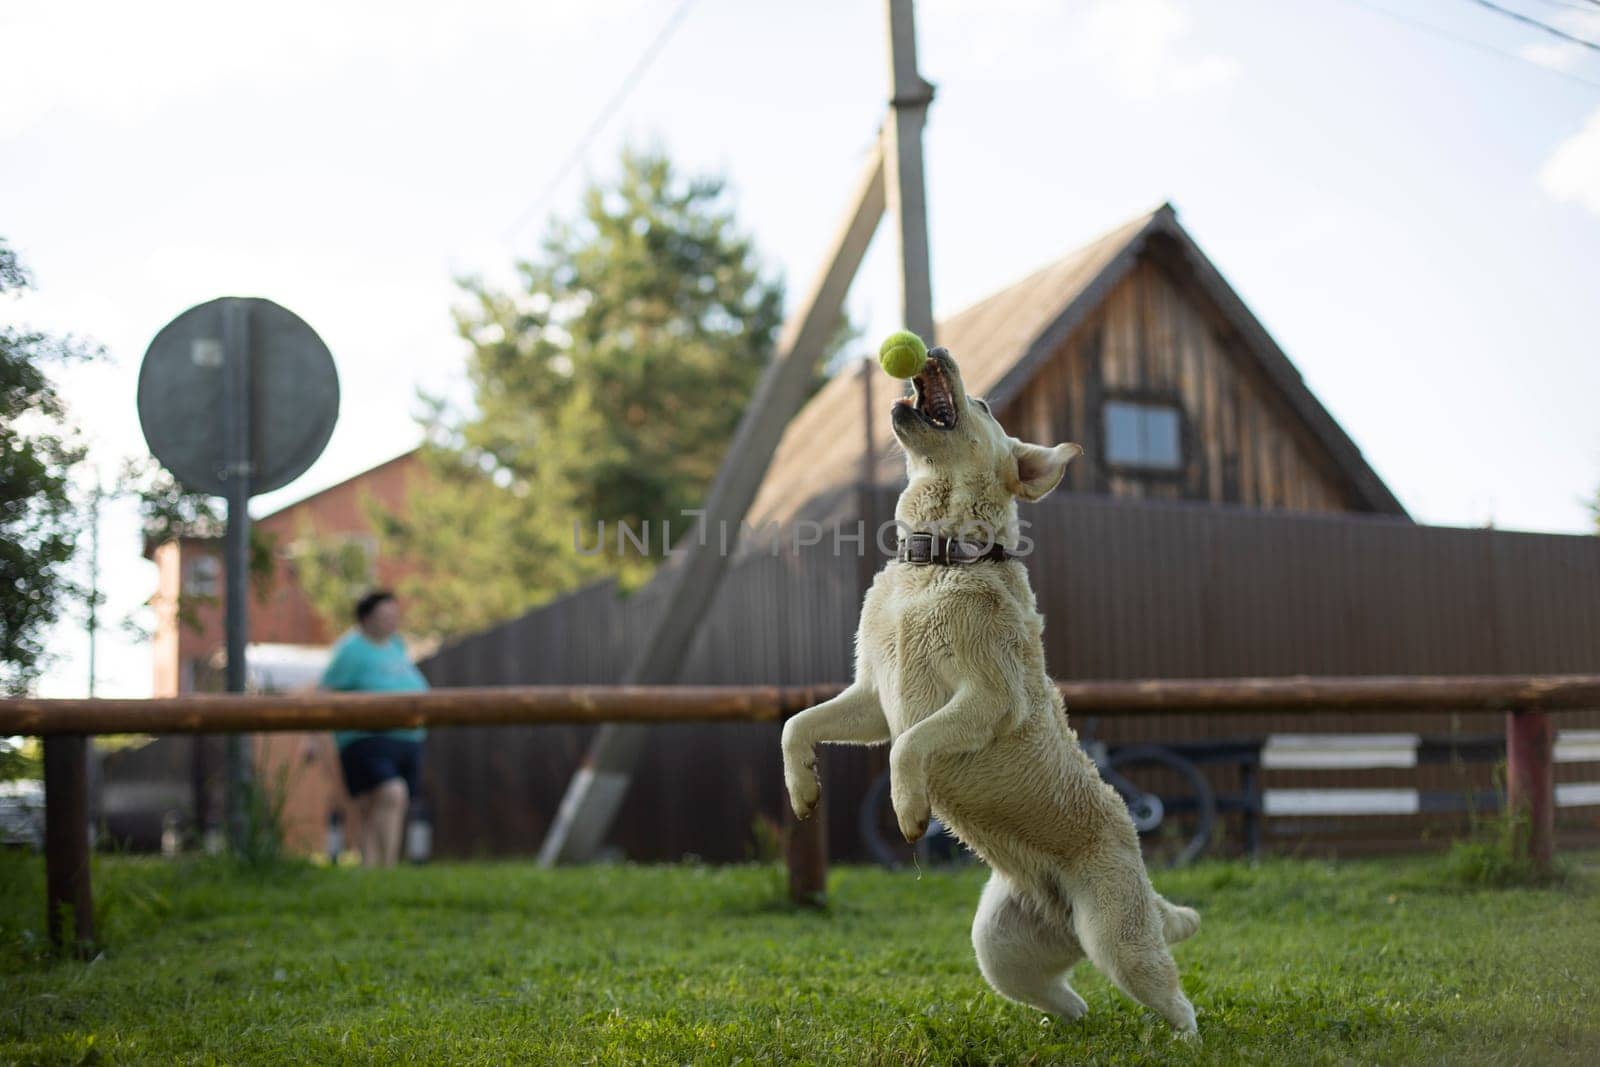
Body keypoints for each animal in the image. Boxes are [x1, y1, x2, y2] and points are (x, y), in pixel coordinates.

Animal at [774, 348, 1203, 1036]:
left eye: (981, 404)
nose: (935, 352)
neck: (940, 559)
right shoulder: (871, 698)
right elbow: (797, 725)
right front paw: (803, 790)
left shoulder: (989, 699)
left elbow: (910, 747)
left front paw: (908, 810)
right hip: (999, 945)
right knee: (1070, 998)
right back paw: (1065, 1028)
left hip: (1119, 940)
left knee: (1175, 998)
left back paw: (1183, 1040)